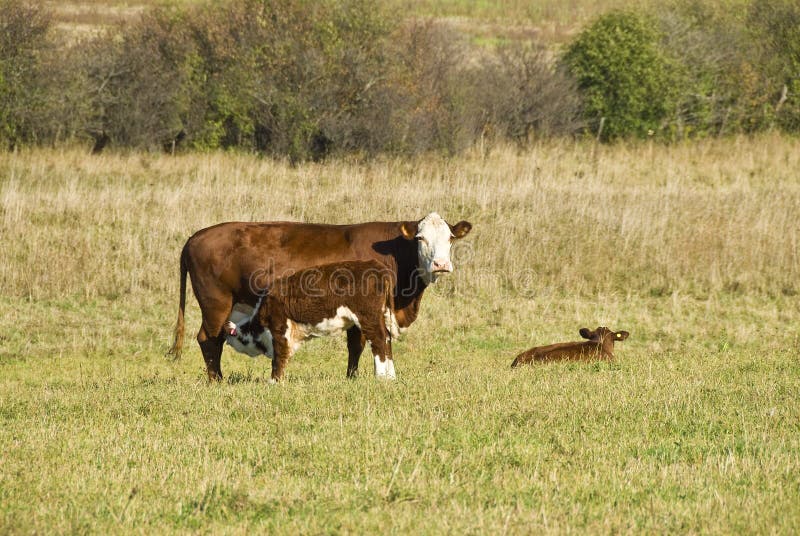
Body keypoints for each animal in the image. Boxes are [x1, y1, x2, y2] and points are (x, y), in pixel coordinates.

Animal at [223, 260, 399, 382]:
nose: (227, 339)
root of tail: (374, 265)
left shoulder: (279, 327)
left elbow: (278, 356)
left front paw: (273, 381)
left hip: (368, 317)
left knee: (378, 340)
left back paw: (380, 376)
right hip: (380, 315)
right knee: (387, 338)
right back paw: (390, 377)